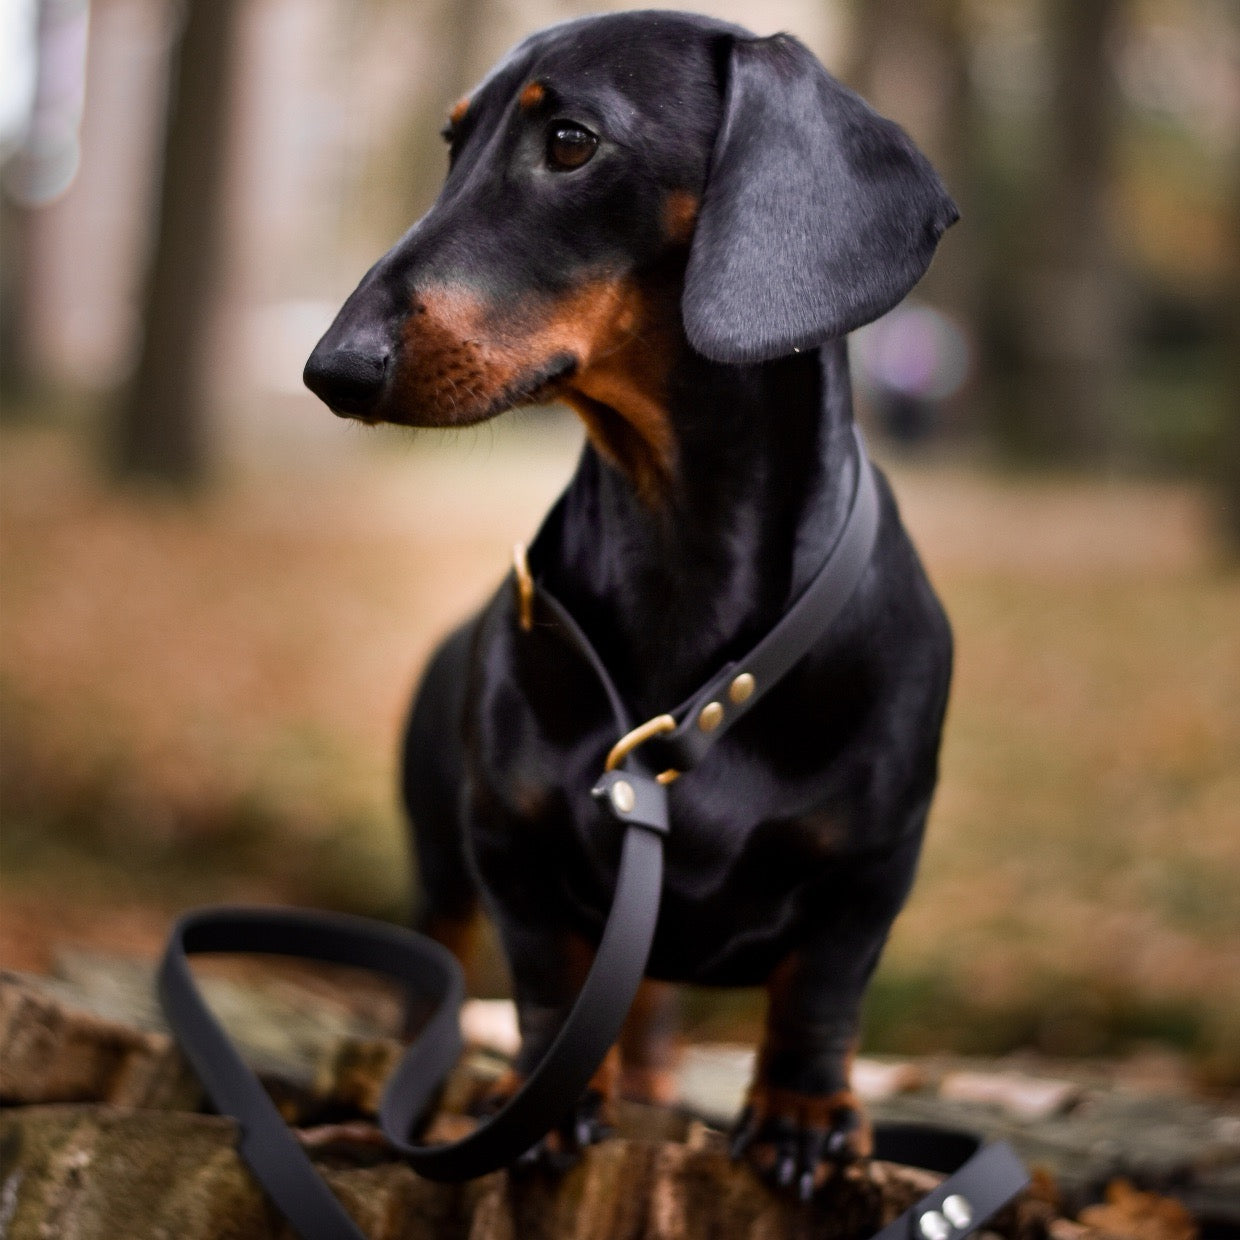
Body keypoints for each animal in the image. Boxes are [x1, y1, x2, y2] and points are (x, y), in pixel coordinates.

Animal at [302, 9, 957, 1200]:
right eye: (450, 142)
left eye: (570, 140)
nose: (333, 368)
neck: (678, 544)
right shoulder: (507, 844)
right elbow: (549, 985)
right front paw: (544, 1105)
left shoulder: (874, 865)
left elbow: (821, 994)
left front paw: (802, 1114)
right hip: (438, 858)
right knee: (441, 962)